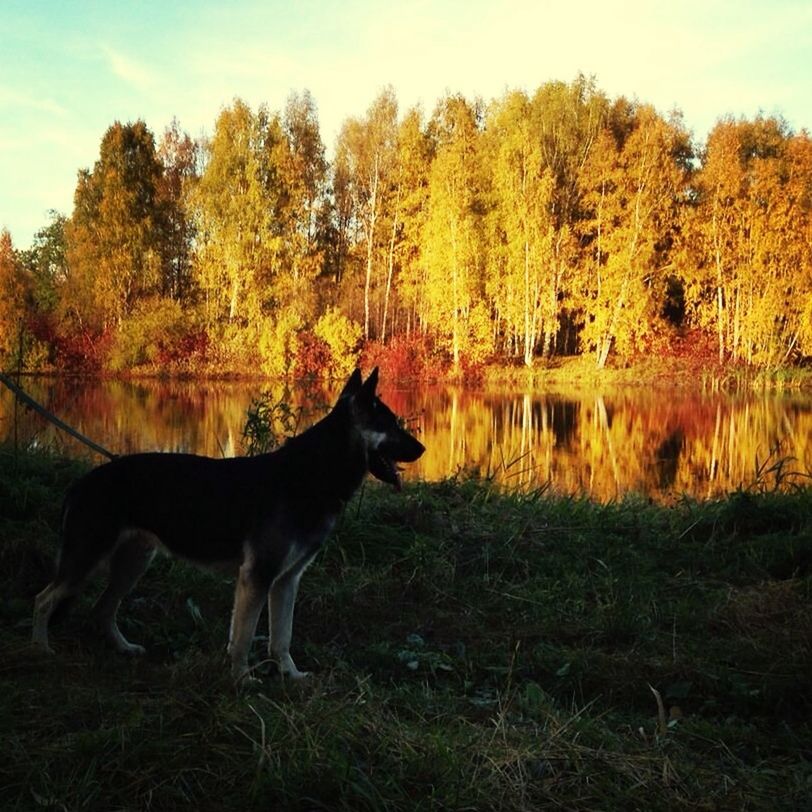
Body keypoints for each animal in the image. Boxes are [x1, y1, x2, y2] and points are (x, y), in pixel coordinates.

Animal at [31, 372, 426, 680]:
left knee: (102, 609)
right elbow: (244, 636)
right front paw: (241, 679)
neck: (311, 476)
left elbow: (281, 637)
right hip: (86, 562)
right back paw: (42, 650)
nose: (421, 449)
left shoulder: (286, 582)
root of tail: (81, 482)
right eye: (391, 424)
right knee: (42, 600)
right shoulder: (257, 578)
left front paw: (290, 675)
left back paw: (123, 648)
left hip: (133, 563)